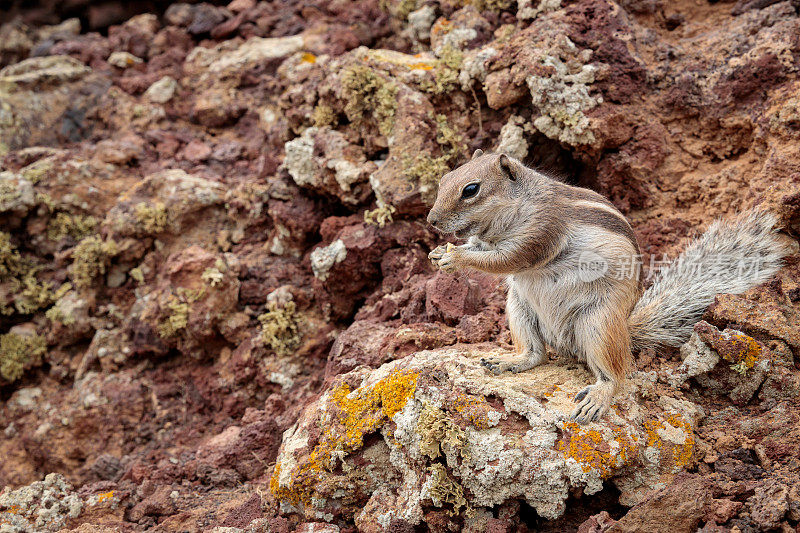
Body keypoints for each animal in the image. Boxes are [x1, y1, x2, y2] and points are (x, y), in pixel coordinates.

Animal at [428, 150, 792, 424]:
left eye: (471, 189)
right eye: (444, 179)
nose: (431, 221)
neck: (520, 204)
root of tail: (626, 329)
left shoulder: (540, 233)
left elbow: (504, 260)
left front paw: (455, 257)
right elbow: (483, 249)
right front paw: (438, 253)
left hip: (598, 324)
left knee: (616, 374)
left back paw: (598, 397)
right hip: (519, 308)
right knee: (536, 353)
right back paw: (509, 361)